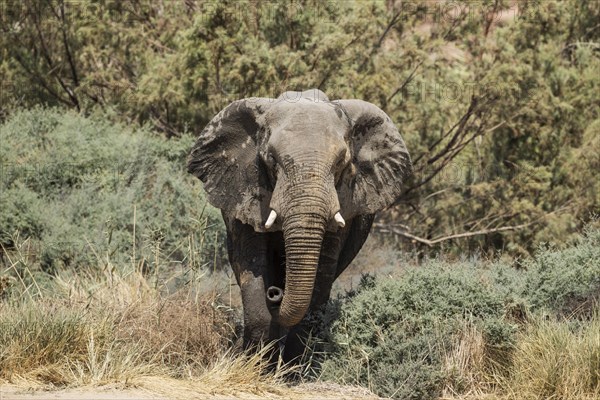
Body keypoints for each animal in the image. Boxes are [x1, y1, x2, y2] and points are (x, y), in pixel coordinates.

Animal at [188, 88, 412, 362]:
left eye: (342, 162)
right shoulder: (247, 192)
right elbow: (252, 263)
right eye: (271, 159)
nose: (275, 293)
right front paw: (256, 365)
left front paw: (293, 368)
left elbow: (321, 274)